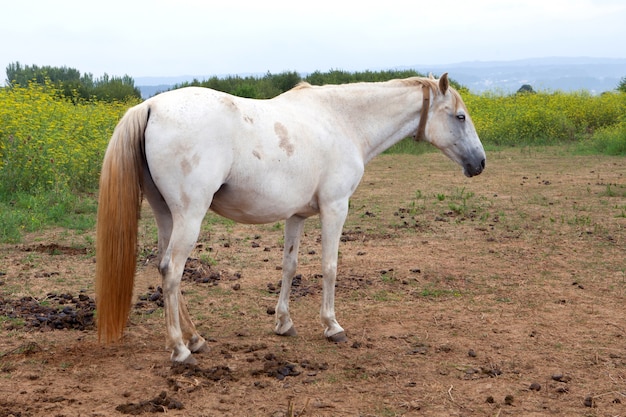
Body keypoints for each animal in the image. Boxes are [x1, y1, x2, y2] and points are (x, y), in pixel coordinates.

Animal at [95, 73, 486, 362]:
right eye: (460, 117)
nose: (479, 163)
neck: (343, 121)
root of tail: (150, 106)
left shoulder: (296, 216)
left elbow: (290, 266)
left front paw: (284, 322)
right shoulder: (335, 207)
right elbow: (329, 266)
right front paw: (332, 326)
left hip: (166, 216)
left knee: (165, 268)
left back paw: (195, 339)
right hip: (189, 217)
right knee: (172, 271)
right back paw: (179, 349)